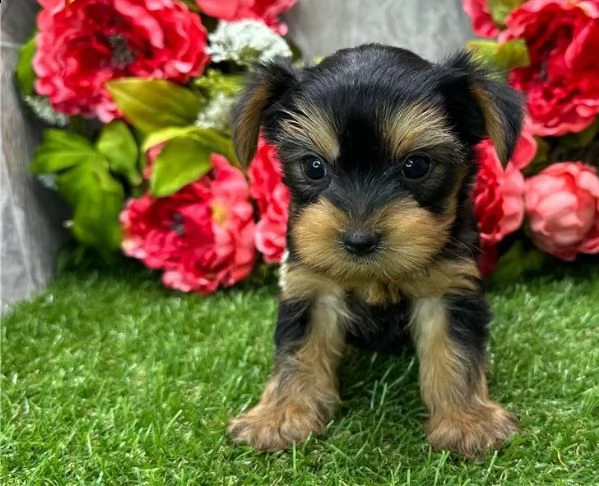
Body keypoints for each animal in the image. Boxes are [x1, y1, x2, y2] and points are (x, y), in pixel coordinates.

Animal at [227, 43, 524, 458]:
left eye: (416, 165)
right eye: (313, 167)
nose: (359, 239)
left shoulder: (448, 286)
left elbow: (455, 352)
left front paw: (468, 421)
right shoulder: (311, 286)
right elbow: (298, 352)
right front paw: (281, 416)